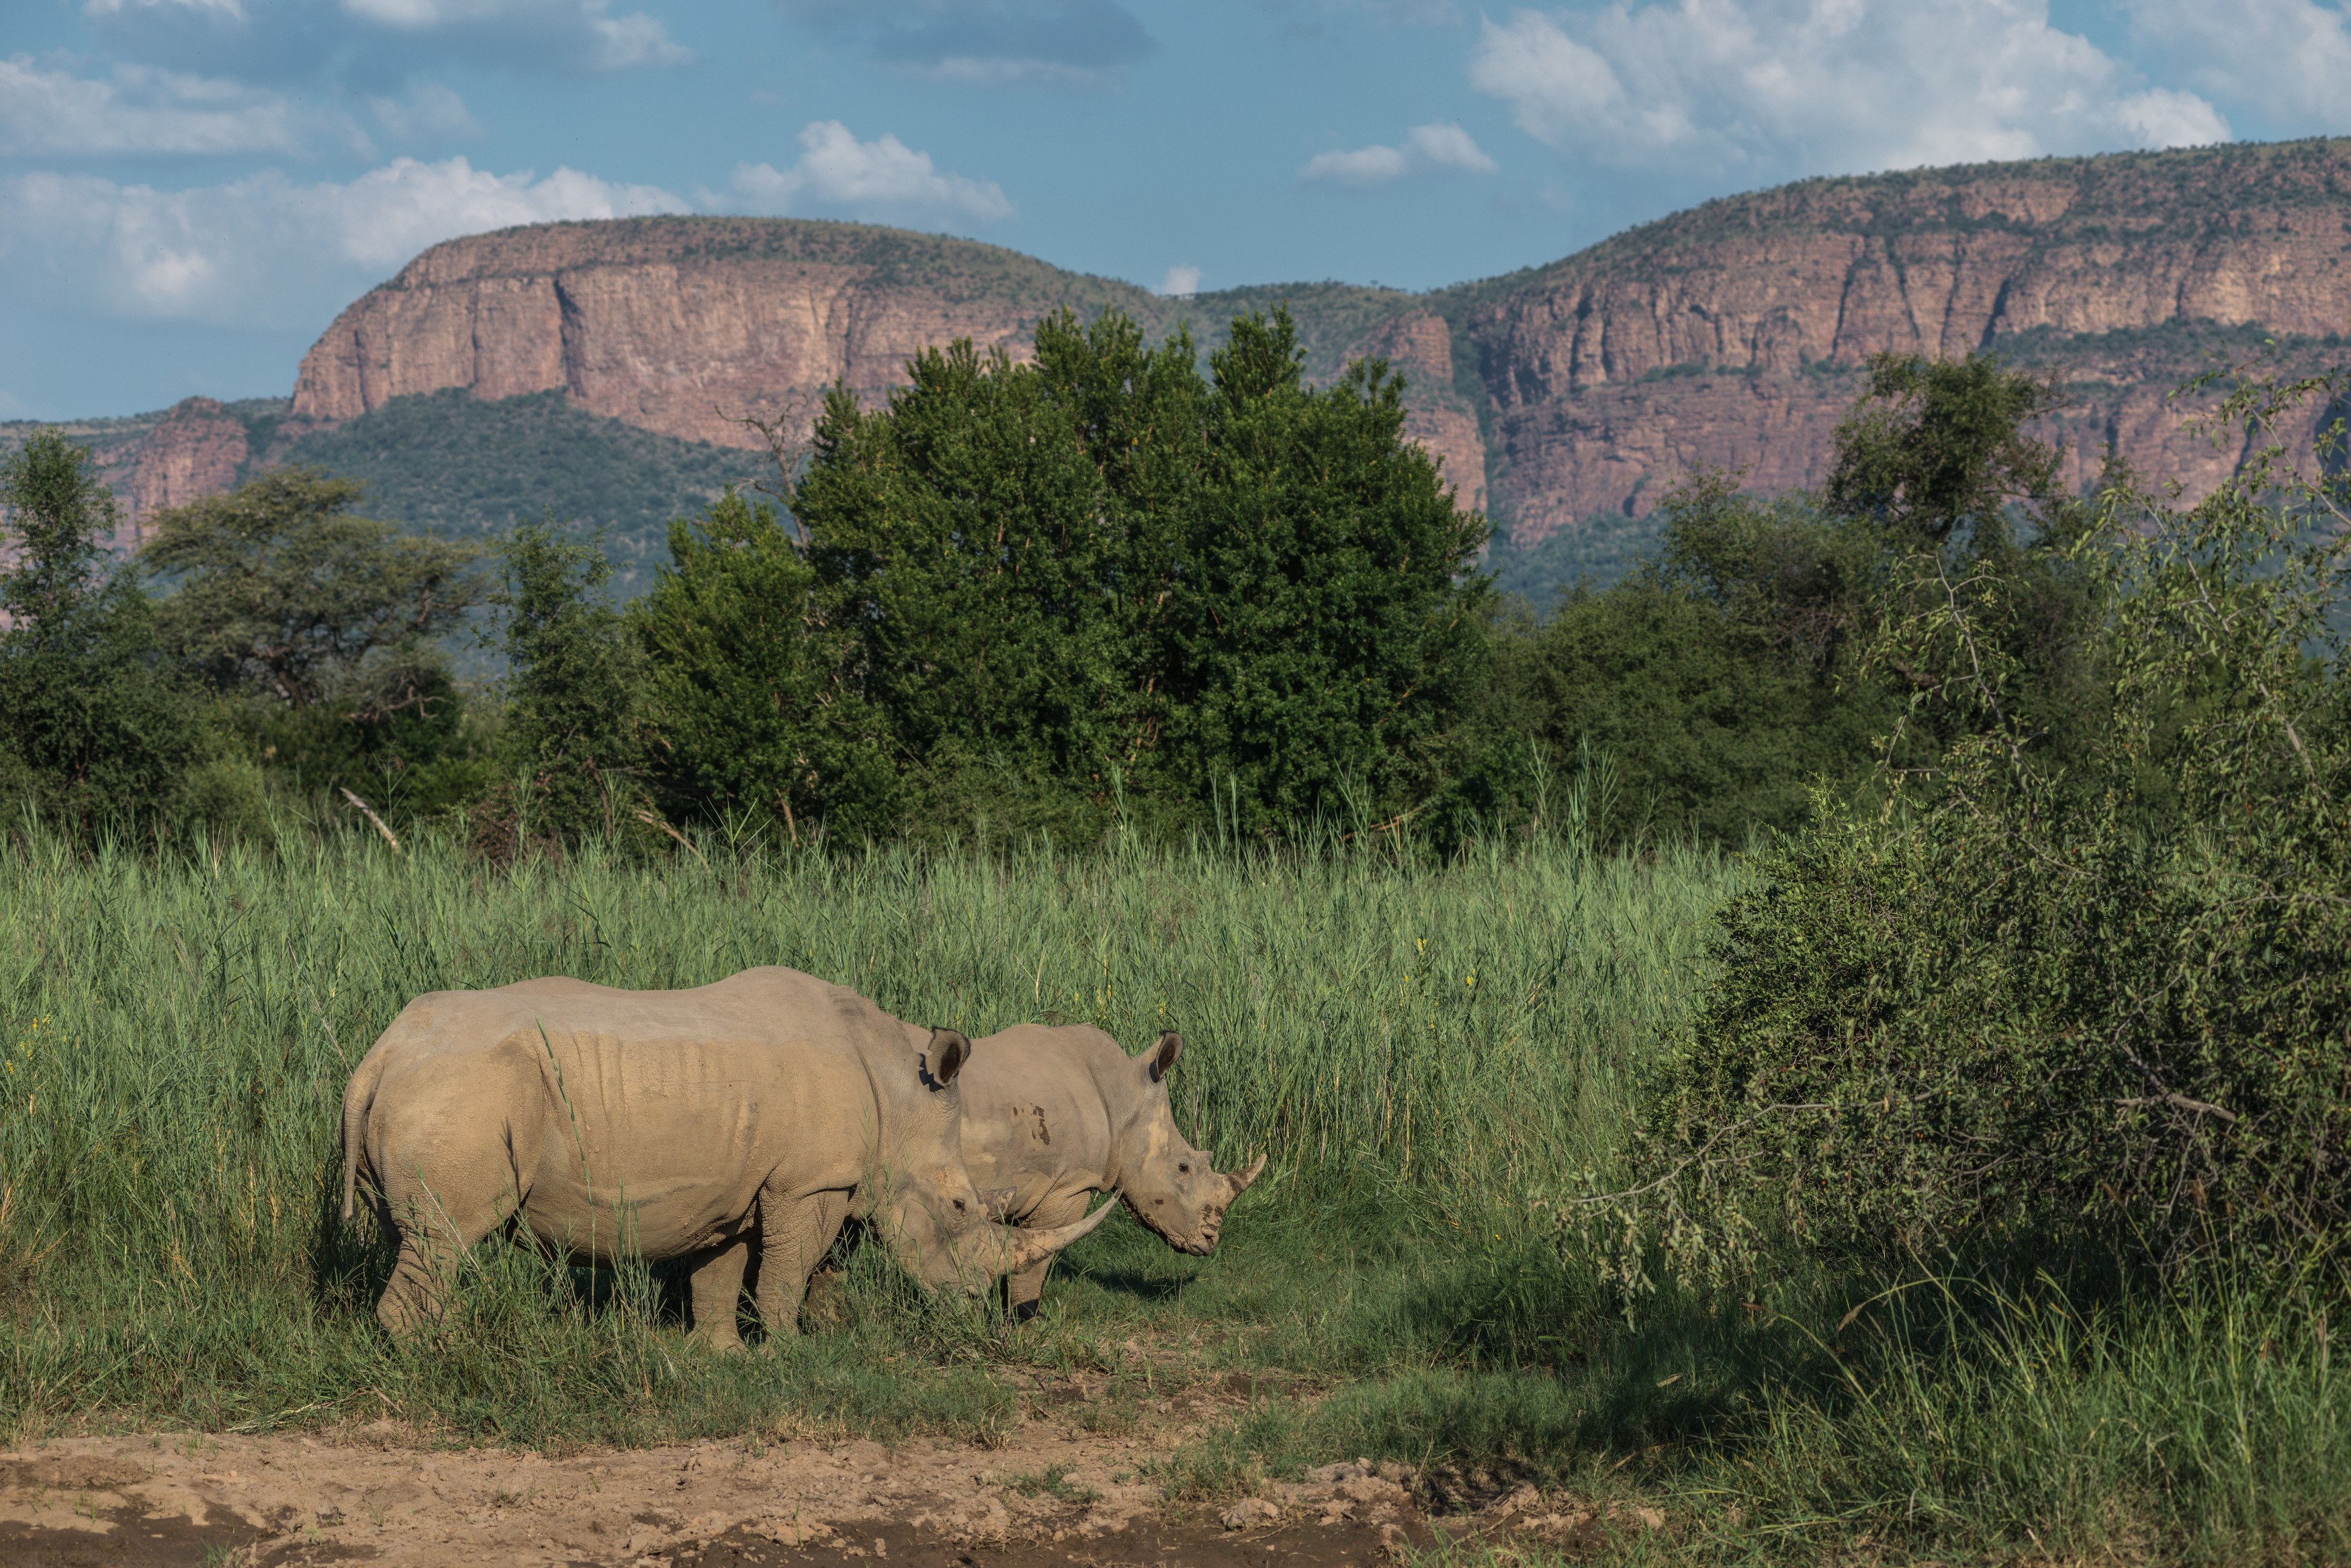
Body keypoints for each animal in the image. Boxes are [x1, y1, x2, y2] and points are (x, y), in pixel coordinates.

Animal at [338, 966, 1112, 1344]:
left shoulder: (736, 1185)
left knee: (420, 1241)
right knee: (446, 1236)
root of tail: (379, 1054)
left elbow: (721, 1272)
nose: (977, 1308)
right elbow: (790, 1269)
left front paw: (723, 1356)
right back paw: (436, 1359)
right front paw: (792, 1351)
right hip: (463, 1091)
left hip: (434, 1087)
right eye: (958, 1205)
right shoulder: (809, 1182)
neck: (897, 1092)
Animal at [957, 1025, 1266, 1320]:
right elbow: (1036, 1255)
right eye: (1183, 1167)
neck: (1119, 1096)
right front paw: (1024, 1320)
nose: (1210, 1240)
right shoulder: (1066, 1186)